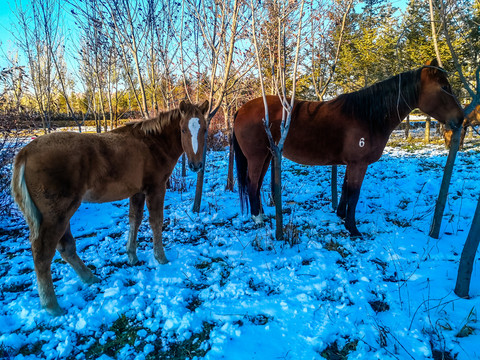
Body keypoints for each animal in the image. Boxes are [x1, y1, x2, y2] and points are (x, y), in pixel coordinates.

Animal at [11, 100, 208, 316]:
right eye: (183, 129)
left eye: (204, 130)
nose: (196, 165)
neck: (152, 144)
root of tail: (25, 153)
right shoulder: (156, 188)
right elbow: (155, 222)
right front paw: (160, 257)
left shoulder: (137, 192)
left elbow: (135, 220)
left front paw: (132, 256)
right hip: (57, 215)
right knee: (42, 254)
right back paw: (52, 305)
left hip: (59, 214)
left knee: (66, 248)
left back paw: (89, 277)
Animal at [234, 59, 464, 236]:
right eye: (444, 87)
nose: (461, 119)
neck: (367, 116)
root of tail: (241, 109)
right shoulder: (358, 164)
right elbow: (354, 194)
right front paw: (352, 229)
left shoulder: (351, 164)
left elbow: (345, 189)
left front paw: (341, 216)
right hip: (257, 157)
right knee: (252, 184)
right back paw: (257, 219)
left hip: (267, 156)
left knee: (256, 184)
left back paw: (262, 214)